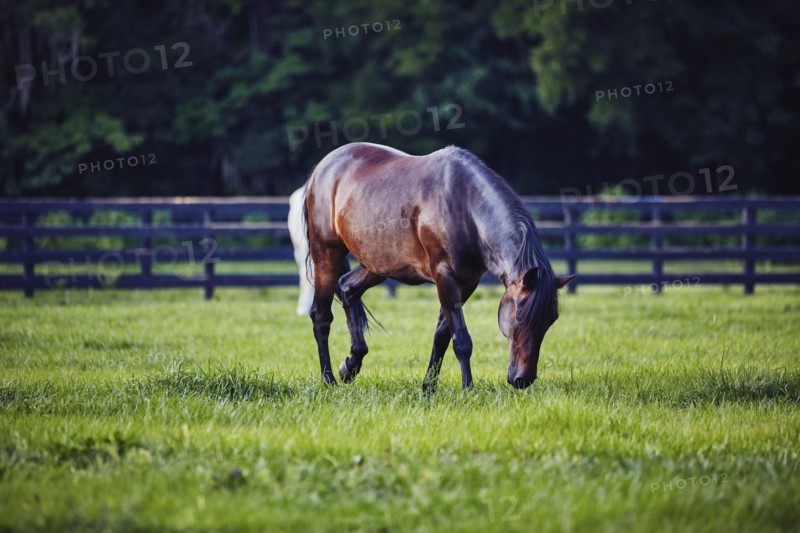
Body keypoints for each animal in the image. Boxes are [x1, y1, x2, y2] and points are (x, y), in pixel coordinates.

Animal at [303, 142, 575, 391]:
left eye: (551, 319)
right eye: (519, 316)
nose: (523, 379)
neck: (465, 208)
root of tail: (322, 169)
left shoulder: (467, 283)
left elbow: (442, 336)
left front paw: (428, 387)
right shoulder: (445, 277)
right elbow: (462, 340)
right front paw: (468, 390)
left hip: (377, 265)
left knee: (347, 289)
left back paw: (350, 366)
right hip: (326, 254)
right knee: (321, 315)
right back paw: (328, 380)